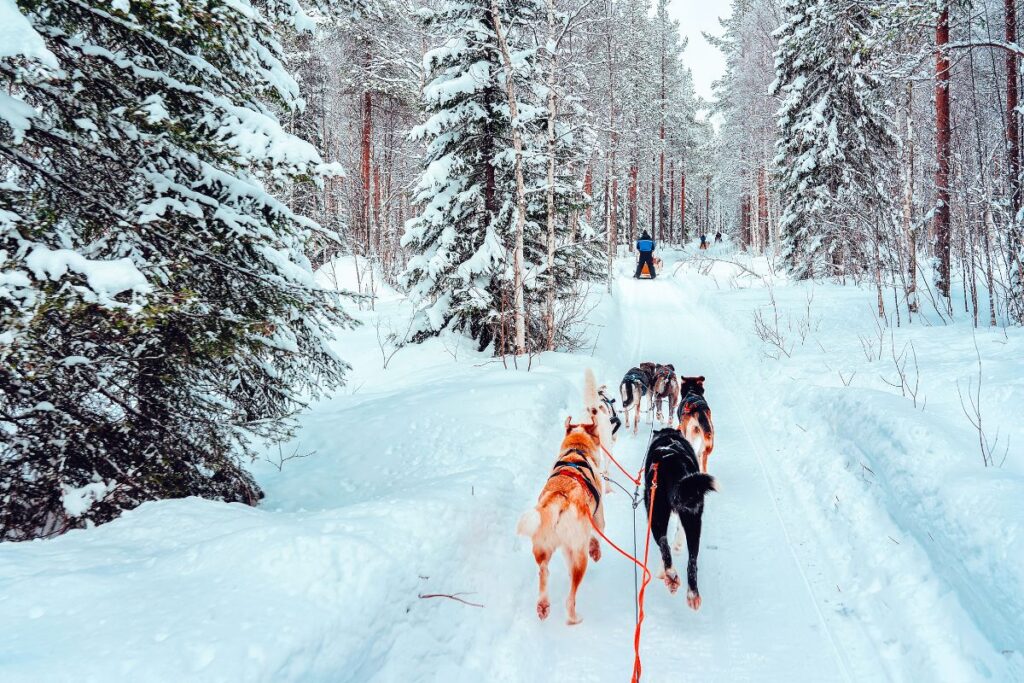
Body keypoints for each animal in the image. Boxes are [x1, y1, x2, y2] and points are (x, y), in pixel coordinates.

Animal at [643, 428, 716, 610]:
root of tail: (672, 463)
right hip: (693, 519)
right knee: (692, 561)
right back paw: (692, 594)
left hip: (655, 515)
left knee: (664, 545)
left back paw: (669, 574)